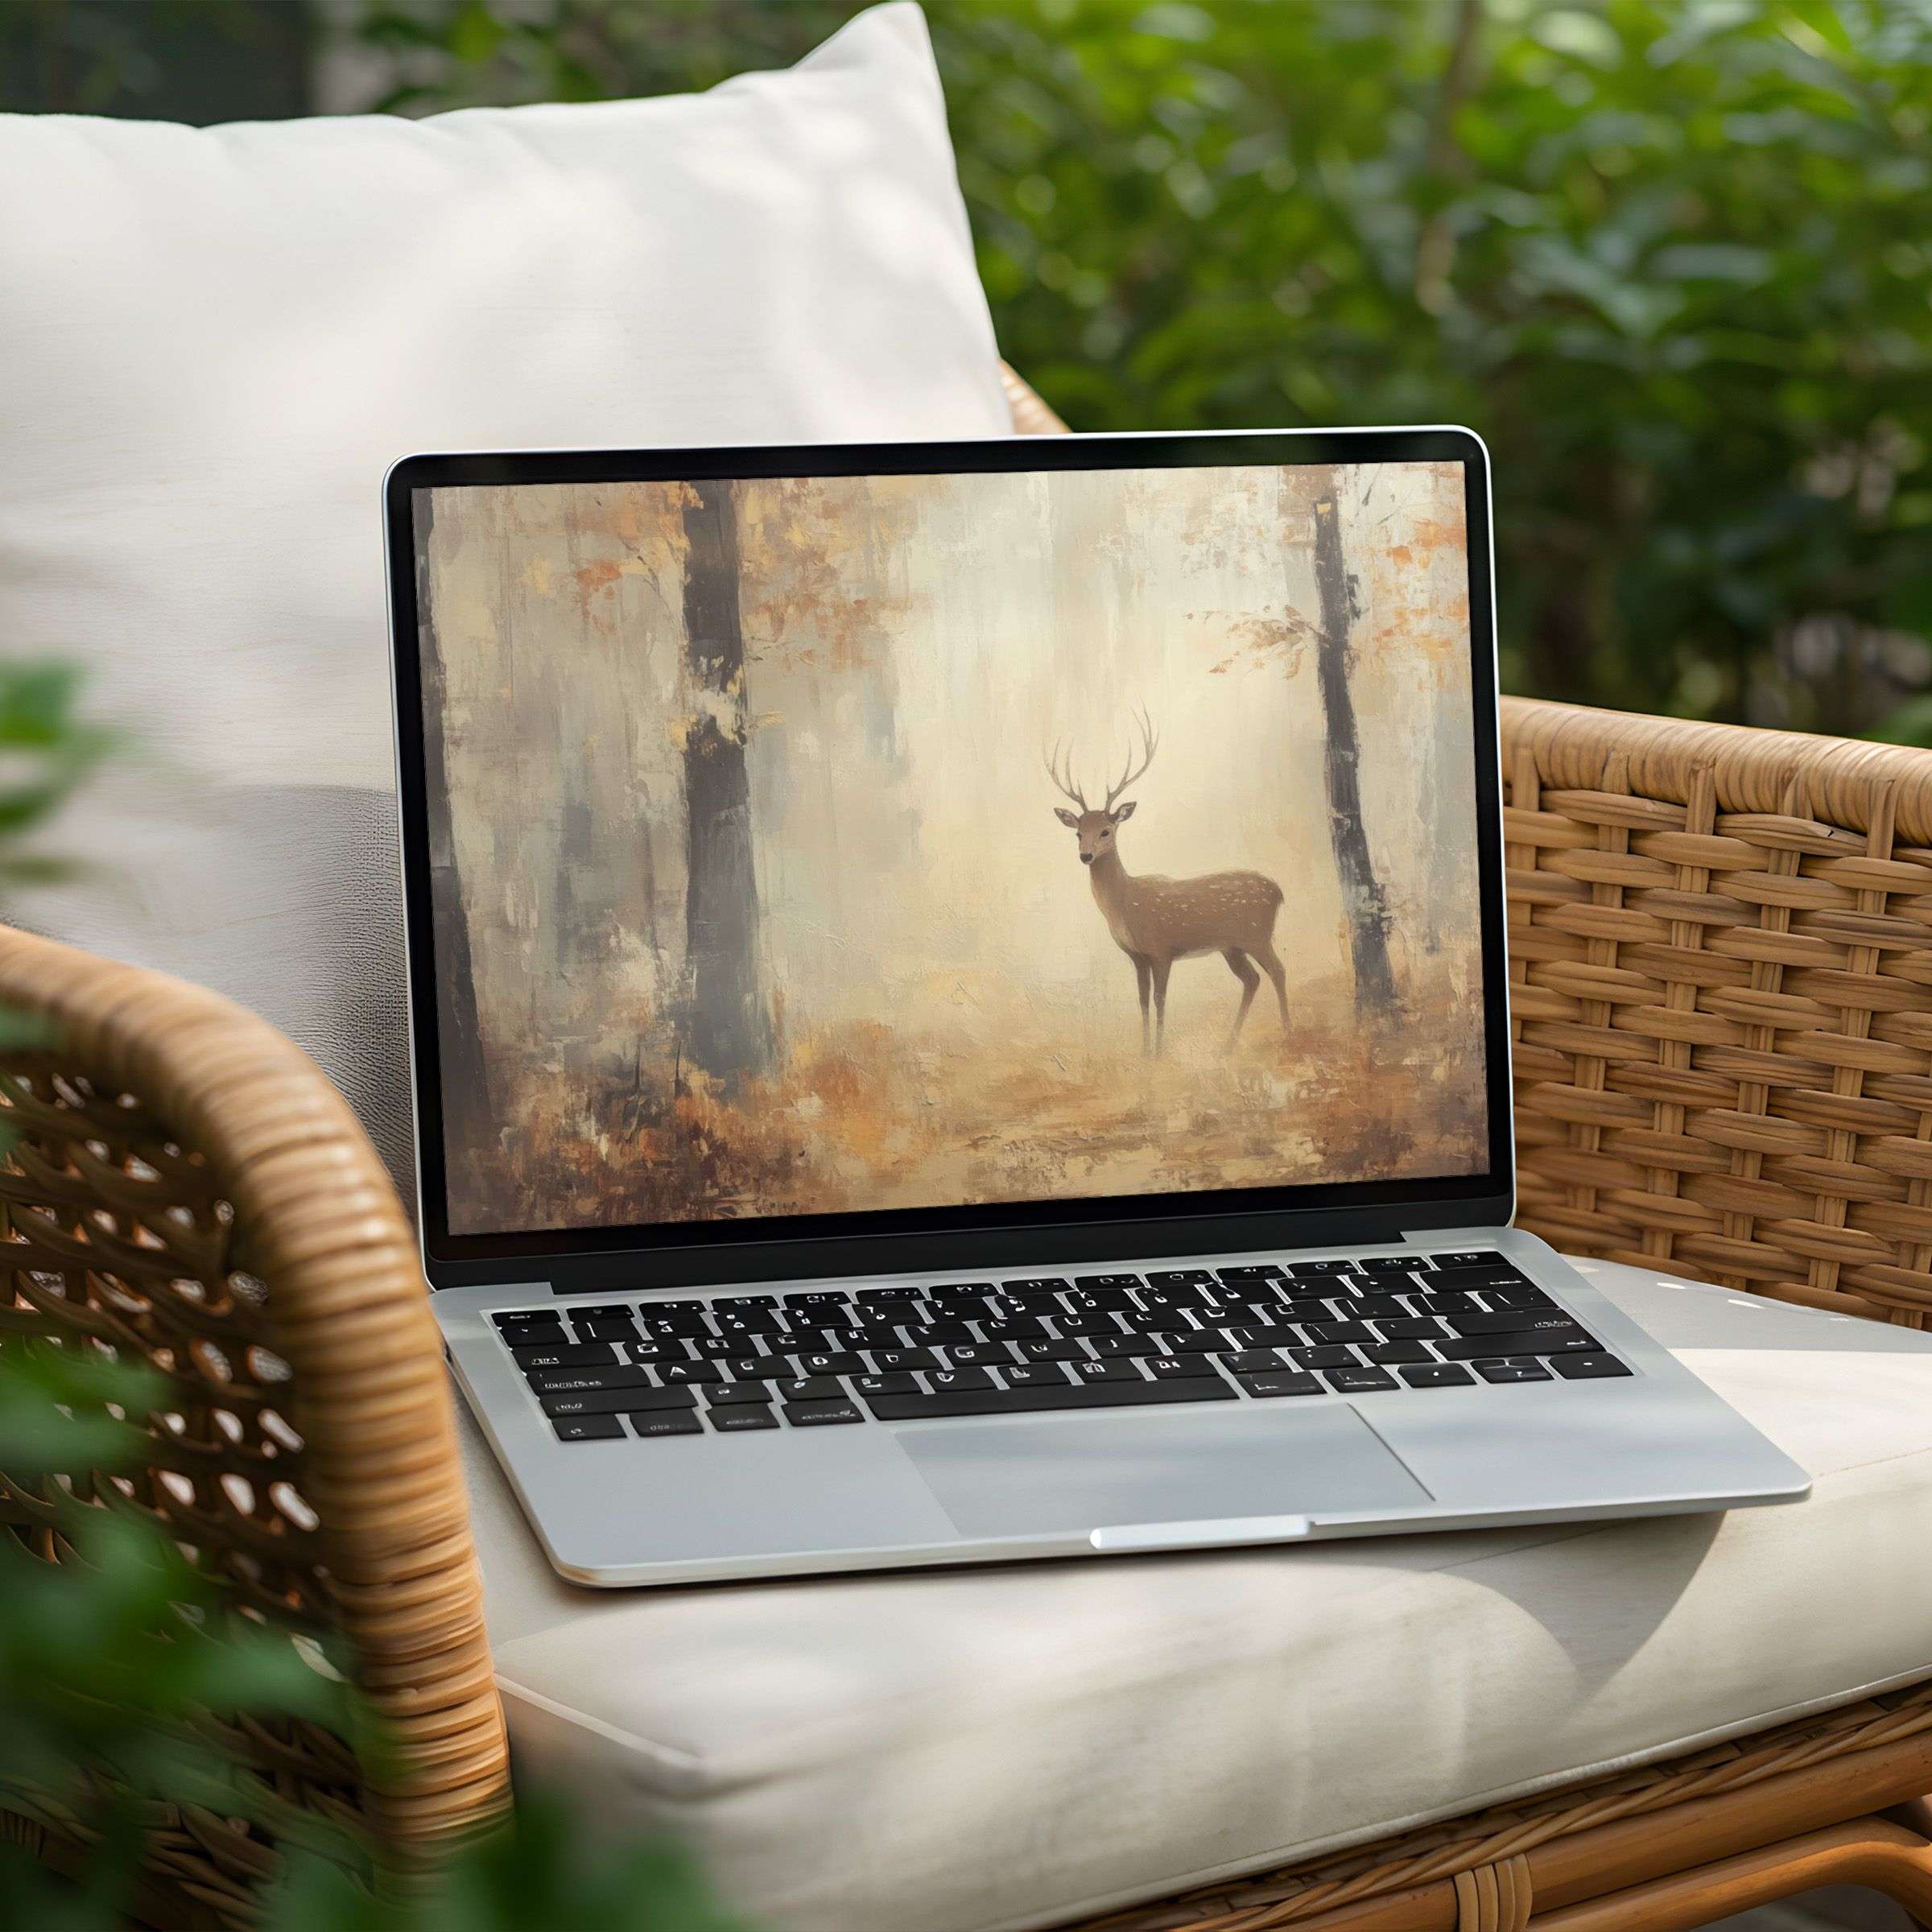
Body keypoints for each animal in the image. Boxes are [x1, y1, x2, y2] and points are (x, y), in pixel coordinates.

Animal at [1048, 712, 1289, 1057]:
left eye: (1106, 830)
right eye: (1078, 833)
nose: (1086, 855)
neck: (1124, 907)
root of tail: (1279, 892)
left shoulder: (1161, 948)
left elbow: (1160, 1000)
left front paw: (1160, 1052)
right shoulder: (1137, 956)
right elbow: (1142, 1001)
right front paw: (1145, 1052)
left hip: (1256, 933)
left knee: (1278, 971)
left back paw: (1287, 1031)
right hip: (1231, 946)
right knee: (1252, 979)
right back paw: (1228, 1046)